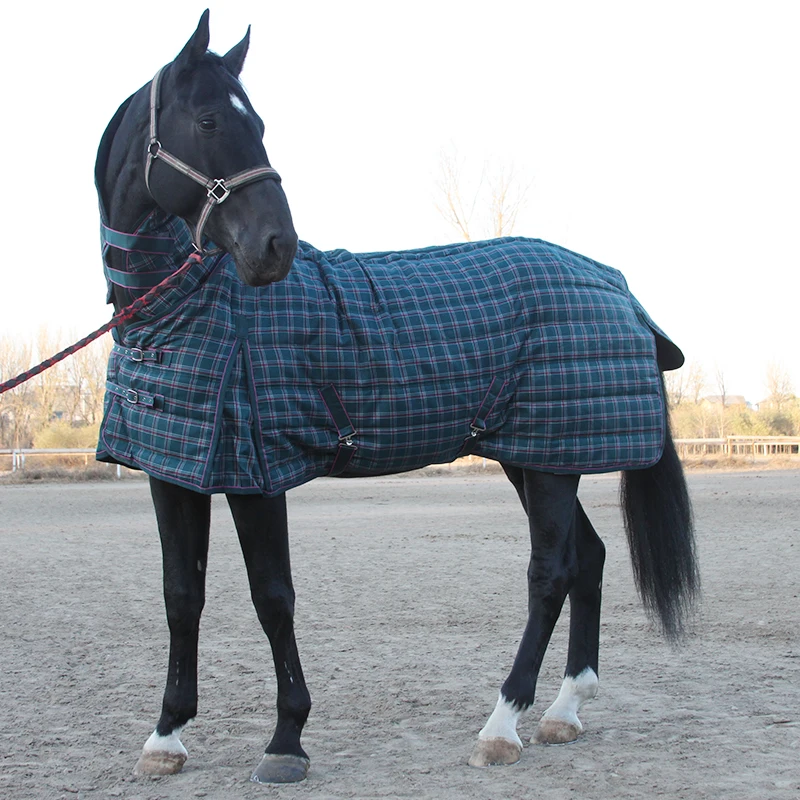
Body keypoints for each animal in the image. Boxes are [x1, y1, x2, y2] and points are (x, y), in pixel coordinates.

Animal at [95, 11, 699, 785]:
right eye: (207, 120)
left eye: (257, 122)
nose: (276, 246)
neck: (183, 312)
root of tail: (617, 287)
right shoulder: (174, 471)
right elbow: (182, 595)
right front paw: (166, 736)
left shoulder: (256, 475)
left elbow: (272, 597)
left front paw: (286, 740)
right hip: (533, 455)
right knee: (586, 560)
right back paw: (564, 711)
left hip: (551, 459)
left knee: (551, 572)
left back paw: (502, 723)